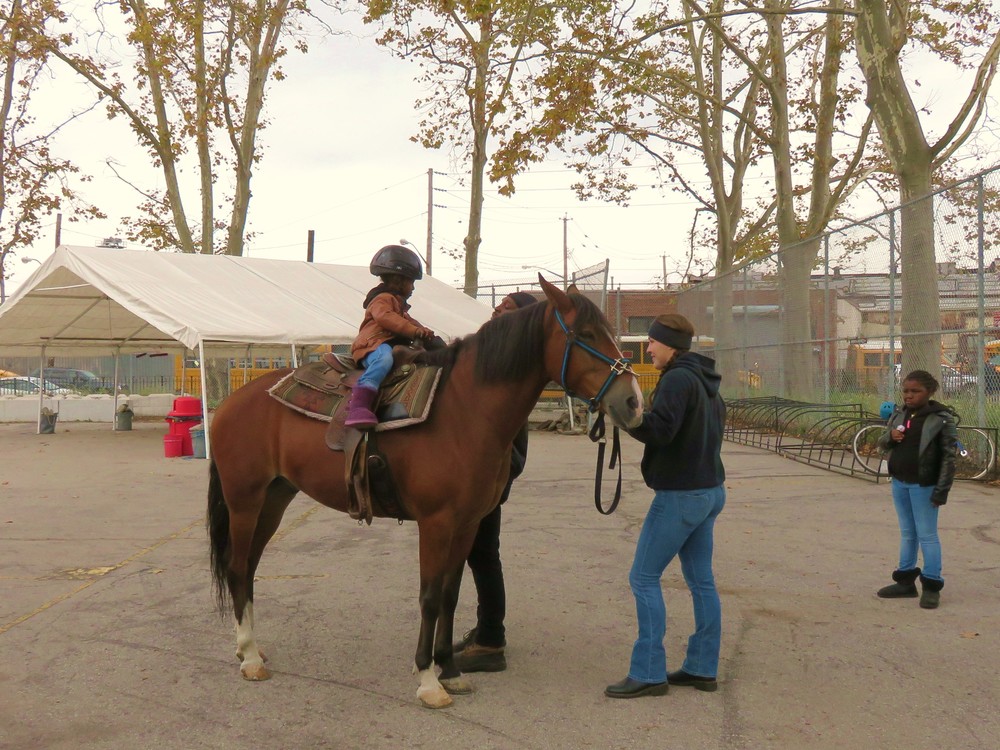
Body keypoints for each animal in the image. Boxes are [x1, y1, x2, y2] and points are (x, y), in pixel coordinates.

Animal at [206, 280, 640, 708]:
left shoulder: (466, 524)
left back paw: (250, 648)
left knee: (249, 567)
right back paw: (250, 657)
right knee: (238, 566)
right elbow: (429, 597)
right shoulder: (436, 523)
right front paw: (428, 680)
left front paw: (450, 670)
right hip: (245, 501)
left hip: (275, 499)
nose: (633, 400)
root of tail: (231, 402)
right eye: (586, 335)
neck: (464, 412)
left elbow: (450, 594)